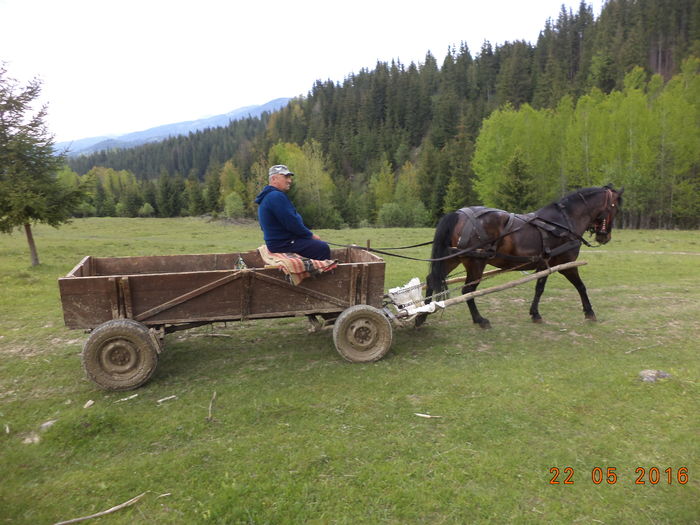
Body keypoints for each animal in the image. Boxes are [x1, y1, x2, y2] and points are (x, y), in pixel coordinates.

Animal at [418, 185, 628, 328]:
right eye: (615, 208)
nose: (605, 237)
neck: (564, 221)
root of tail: (458, 214)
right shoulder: (565, 263)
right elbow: (579, 286)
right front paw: (589, 312)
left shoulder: (545, 265)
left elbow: (540, 289)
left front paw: (535, 313)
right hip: (476, 263)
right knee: (468, 290)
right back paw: (479, 320)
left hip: (453, 258)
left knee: (432, 279)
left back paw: (422, 314)